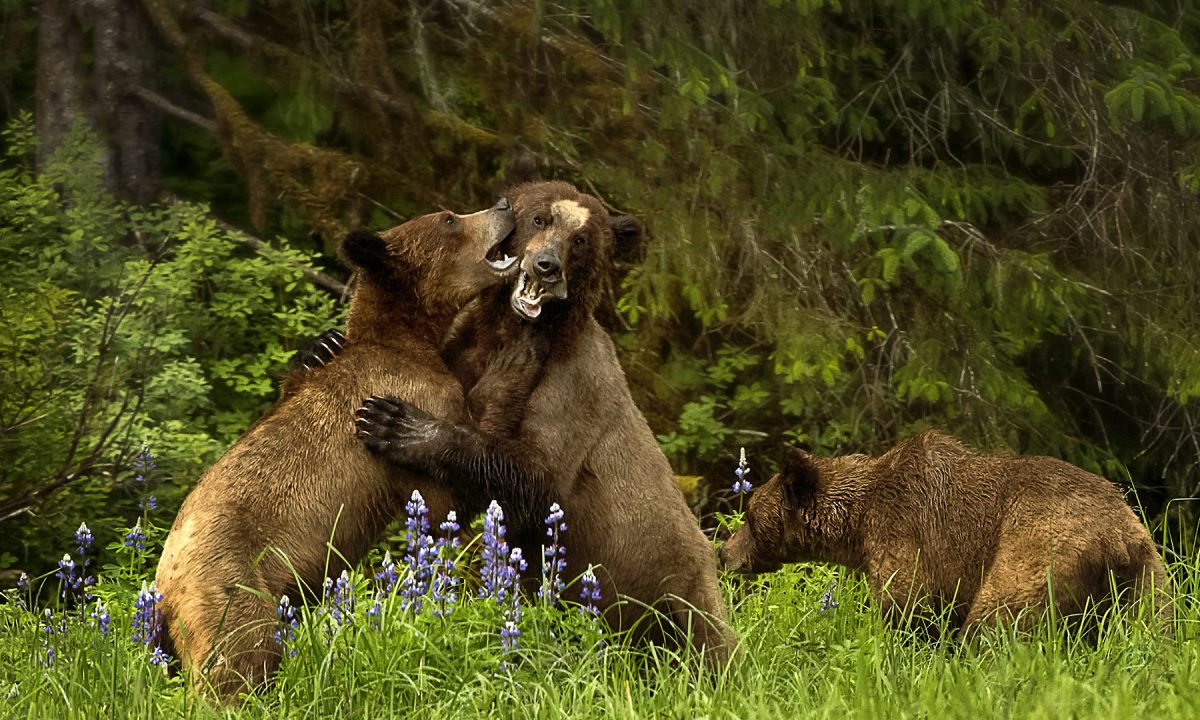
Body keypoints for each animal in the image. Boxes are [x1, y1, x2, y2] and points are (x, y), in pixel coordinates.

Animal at [155, 198, 555, 700]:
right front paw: (523, 350)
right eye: (448, 219)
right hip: (231, 584)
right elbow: (449, 496)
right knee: (240, 661)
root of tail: (163, 587)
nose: (502, 205)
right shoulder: (416, 396)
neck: (412, 338)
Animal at [352, 180, 738, 666]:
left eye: (582, 240)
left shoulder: (574, 388)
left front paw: (397, 424)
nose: (547, 265)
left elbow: (537, 472)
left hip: (681, 592)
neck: (508, 333)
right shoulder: (467, 352)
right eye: (540, 218)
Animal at [718, 431, 1172, 637]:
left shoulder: (907, 537)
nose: (723, 551)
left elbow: (909, 611)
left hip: (1037, 551)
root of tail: (1117, 537)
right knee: (1153, 630)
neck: (859, 524)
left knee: (997, 619)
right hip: (1147, 578)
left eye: (751, 518)